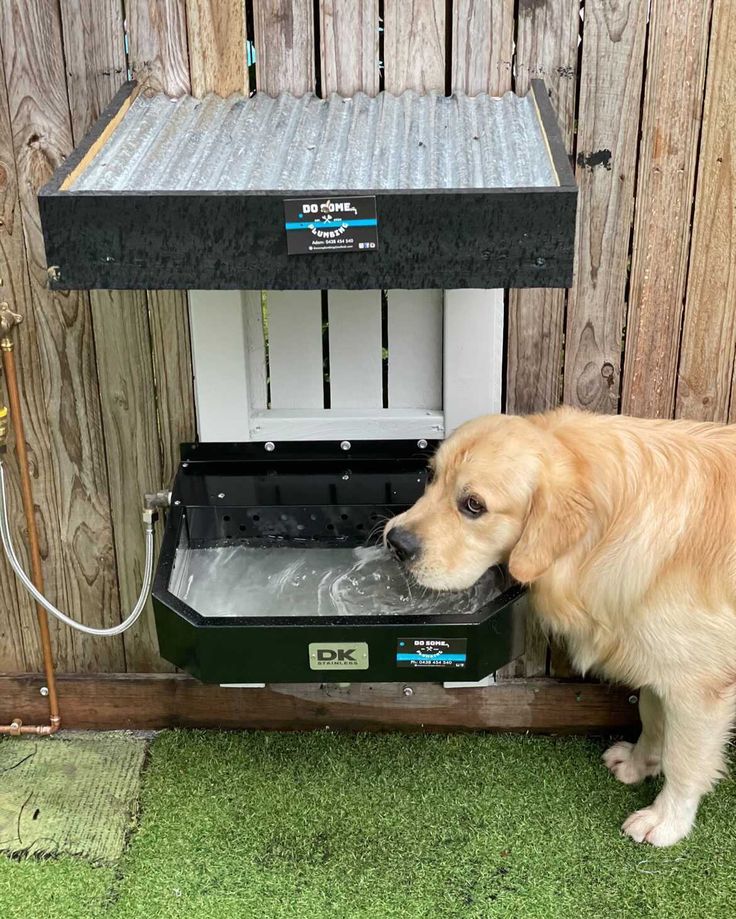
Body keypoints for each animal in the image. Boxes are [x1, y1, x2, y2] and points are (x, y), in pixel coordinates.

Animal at [386, 410, 736, 848]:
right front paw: (638, 763)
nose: (395, 543)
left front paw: (667, 820)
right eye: (431, 476)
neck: (603, 534)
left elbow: (685, 760)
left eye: (473, 505)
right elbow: (652, 716)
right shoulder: (660, 661)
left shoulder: (700, 687)